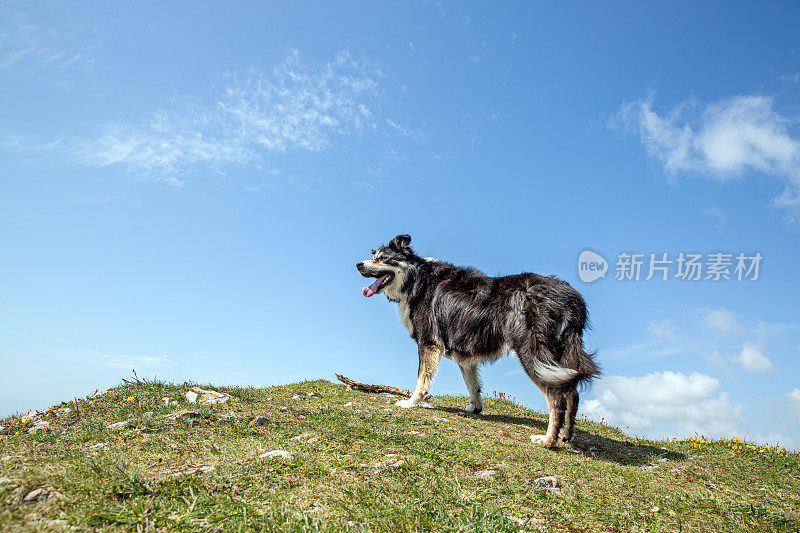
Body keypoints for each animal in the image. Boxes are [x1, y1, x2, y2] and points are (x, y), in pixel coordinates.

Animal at [356, 233, 600, 444]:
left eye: (382, 259)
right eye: (373, 254)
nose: (358, 264)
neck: (416, 278)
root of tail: (572, 297)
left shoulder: (428, 343)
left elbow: (421, 379)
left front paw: (411, 402)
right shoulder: (464, 353)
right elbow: (472, 385)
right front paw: (475, 408)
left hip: (534, 353)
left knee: (556, 397)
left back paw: (548, 440)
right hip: (560, 354)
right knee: (572, 393)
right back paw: (566, 435)